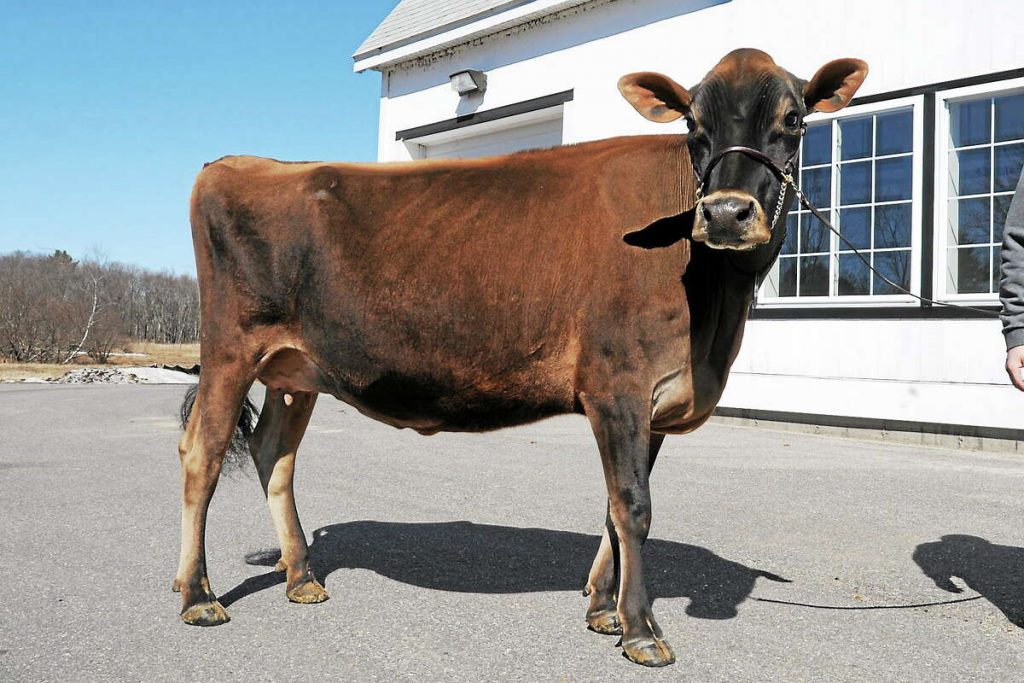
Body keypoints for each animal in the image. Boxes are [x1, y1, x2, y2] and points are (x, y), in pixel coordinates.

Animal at [174, 49, 864, 667]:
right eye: (693, 122)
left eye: (794, 119)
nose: (725, 213)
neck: (714, 311)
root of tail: (237, 164)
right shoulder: (618, 385)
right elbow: (633, 506)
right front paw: (641, 630)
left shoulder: (655, 399)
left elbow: (614, 506)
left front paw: (604, 609)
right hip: (230, 347)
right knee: (202, 454)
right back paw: (198, 596)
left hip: (295, 370)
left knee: (274, 454)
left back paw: (300, 578)